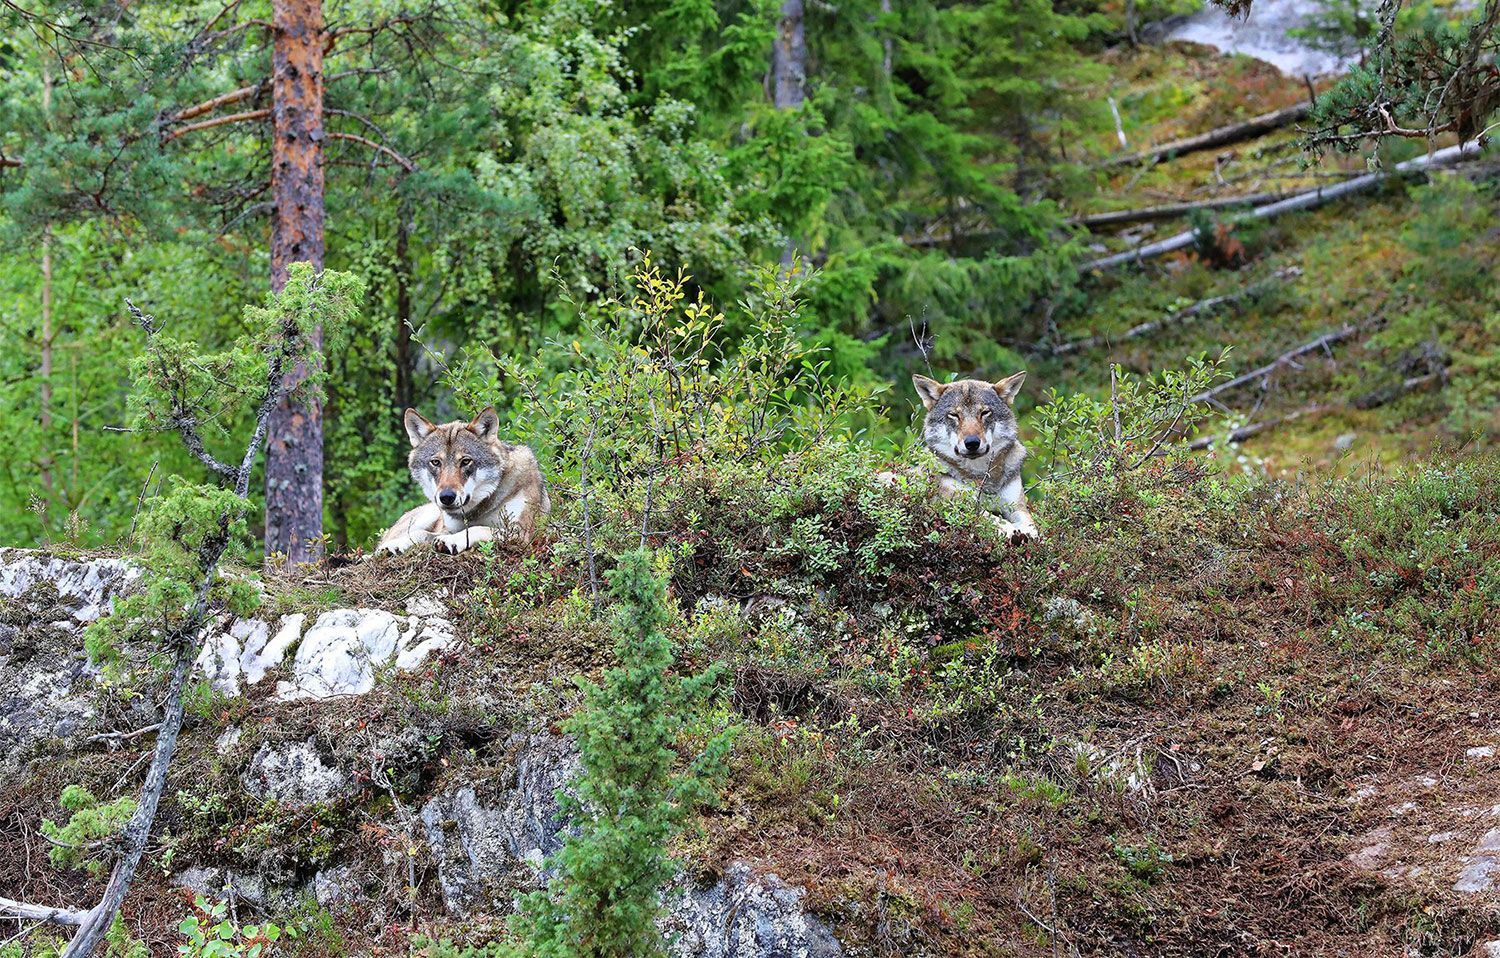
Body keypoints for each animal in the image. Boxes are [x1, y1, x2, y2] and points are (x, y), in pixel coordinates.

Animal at [376, 407, 551, 555]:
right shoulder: (445, 528)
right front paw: (395, 544)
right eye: (436, 462)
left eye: (465, 461)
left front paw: (451, 541)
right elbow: (422, 533)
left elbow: (477, 529)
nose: (446, 497)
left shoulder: (520, 533)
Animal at [908, 372, 1039, 539]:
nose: (972, 443)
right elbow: (991, 518)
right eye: (954, 415)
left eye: (984, 413)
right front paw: (1011, 531)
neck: (981, 474)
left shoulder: (1017, 505)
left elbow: (1031, 524)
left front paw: (1028, 533)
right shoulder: (953, 503)